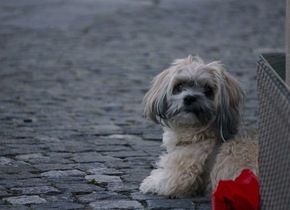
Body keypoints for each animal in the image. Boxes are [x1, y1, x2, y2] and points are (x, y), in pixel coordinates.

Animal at [139, 55, 258, 197]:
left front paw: (147, 183)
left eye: (208, 89)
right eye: (180, 85)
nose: (189, 98)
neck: (201, 135)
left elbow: (158, 179)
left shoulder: (179, 175)